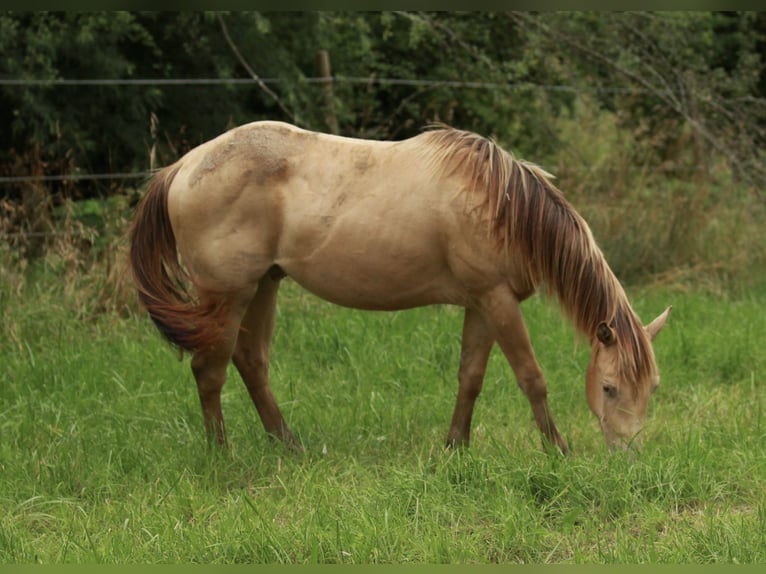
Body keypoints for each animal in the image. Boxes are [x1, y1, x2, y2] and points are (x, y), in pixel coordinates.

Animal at [127, 121, 672, 454]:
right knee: (209, 369)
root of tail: (182, 167)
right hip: (228, 293)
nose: (628, 456)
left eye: (652, 388)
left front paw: (456, 448)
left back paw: (289, 445)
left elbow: (470, 377)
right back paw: (222, 453)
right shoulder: (497, 301)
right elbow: (531, 377)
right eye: (609, 387)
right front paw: (558, 451)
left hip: (264, 286)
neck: (502, 205)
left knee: (251, 362)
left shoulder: (482, 303)